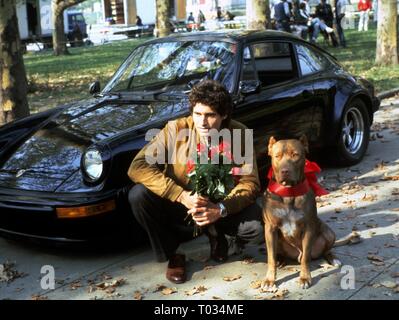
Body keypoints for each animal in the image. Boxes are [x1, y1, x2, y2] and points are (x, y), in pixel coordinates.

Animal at [264, 135, 342, 290]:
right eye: (277, 156)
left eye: (295, 155)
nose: (285, 171)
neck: (289, 192)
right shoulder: (270, 229)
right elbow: (270, 257)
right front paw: (270, 280)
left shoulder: (309, 228)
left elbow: (306, 257)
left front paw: (305, 278)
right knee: (277, 254)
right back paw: (280, 260)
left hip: (329, 233)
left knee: (322, 251)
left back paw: (333, 259)